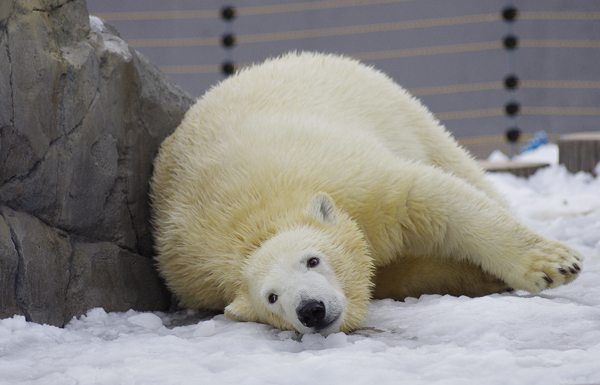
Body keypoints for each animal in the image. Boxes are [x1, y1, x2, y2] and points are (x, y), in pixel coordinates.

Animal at [150, 50, 580, 332]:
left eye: (312, 260)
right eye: (271, 296)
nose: (310, 309)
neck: (254, 224)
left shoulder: (343, 179)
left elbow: (424, 197)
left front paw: (554, 265)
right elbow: (397, 271)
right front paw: (480, 277)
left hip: (397, 109)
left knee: (456, 165)